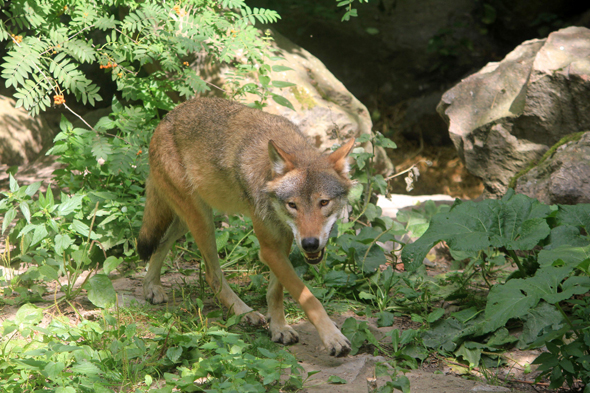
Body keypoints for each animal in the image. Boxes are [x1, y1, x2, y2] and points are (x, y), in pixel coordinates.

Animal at [136, 97, 354, 356]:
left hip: (187, 218)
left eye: (324, 203)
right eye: (293, 205)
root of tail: (165, 119)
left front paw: (279, 328)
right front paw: (332, 337)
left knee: (160, 243)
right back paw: (244, 313)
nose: (310, 244)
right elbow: (308, 298)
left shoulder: (283, 240)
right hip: (201, 218)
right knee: (212, 274)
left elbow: (276, 291)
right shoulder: (269, 248)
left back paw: (151, 287)